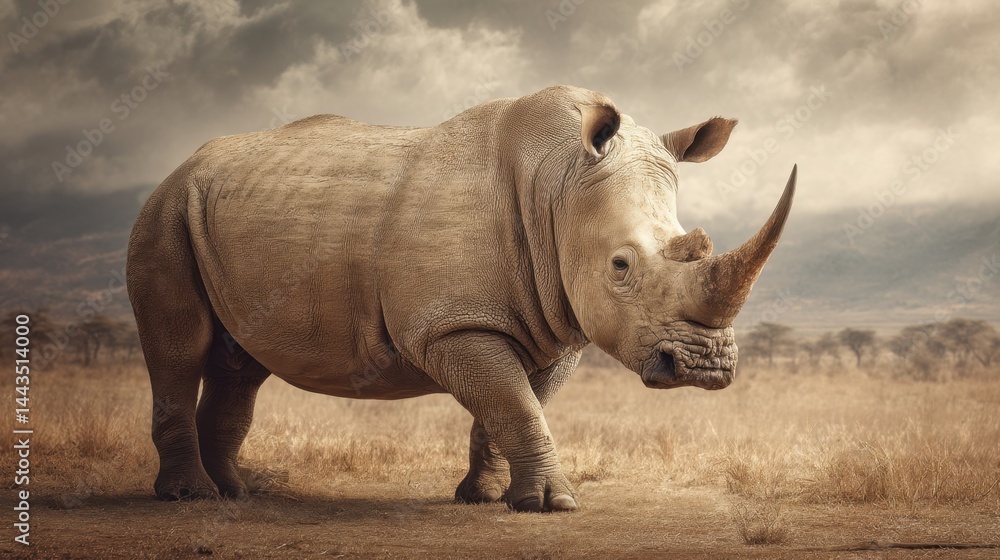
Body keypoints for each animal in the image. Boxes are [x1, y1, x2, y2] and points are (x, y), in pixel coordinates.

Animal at [126, 85, 795, 512]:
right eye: (621, 266)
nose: (705, 368)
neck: (559, 186)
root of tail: (180, 165)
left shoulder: (556, 327)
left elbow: (515, 405)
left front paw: (489, 498)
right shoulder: (449, 325)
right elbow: (516, 403)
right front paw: (555, 505)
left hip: (222, 211)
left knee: (242, 364)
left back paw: (234, 492)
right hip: (165, 210)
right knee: (179, 350)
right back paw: (190, 498)